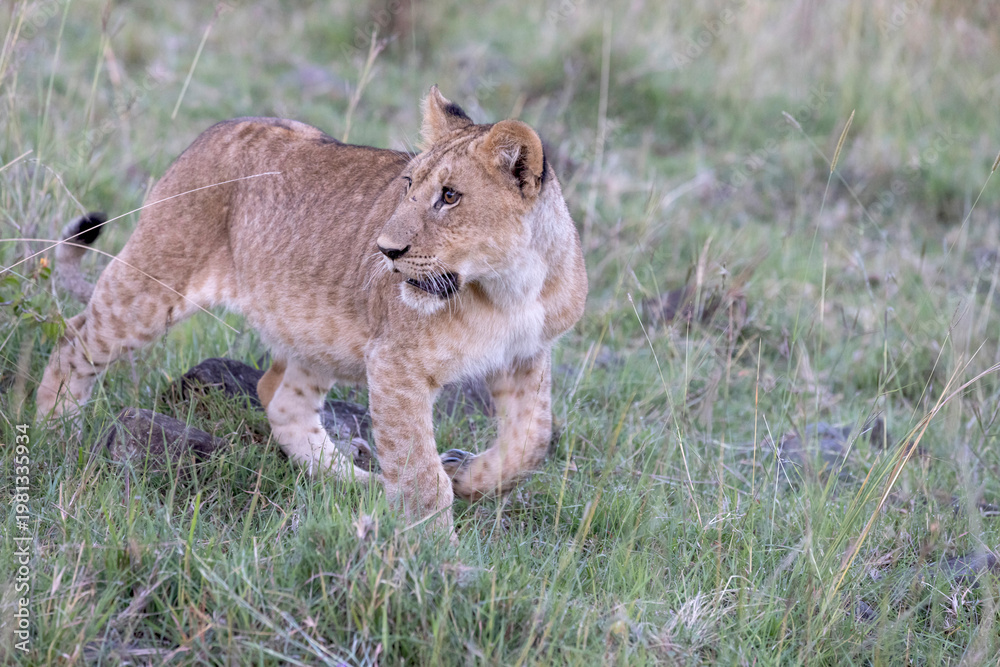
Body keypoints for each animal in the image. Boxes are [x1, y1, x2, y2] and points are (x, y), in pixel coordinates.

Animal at [36, 86, 588, 533]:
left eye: (450, 196)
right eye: (408, 185)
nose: (386, 251)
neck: (507, 289)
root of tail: (217, 129)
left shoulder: (526, 356)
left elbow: (533, 441)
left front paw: (468, 477)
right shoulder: (395, 364)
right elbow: (419, 472)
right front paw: (435, 556)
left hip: (314, 334)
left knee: (280, 398)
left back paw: (361, 482)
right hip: (153, 283)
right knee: (74, 339)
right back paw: (52, 430)